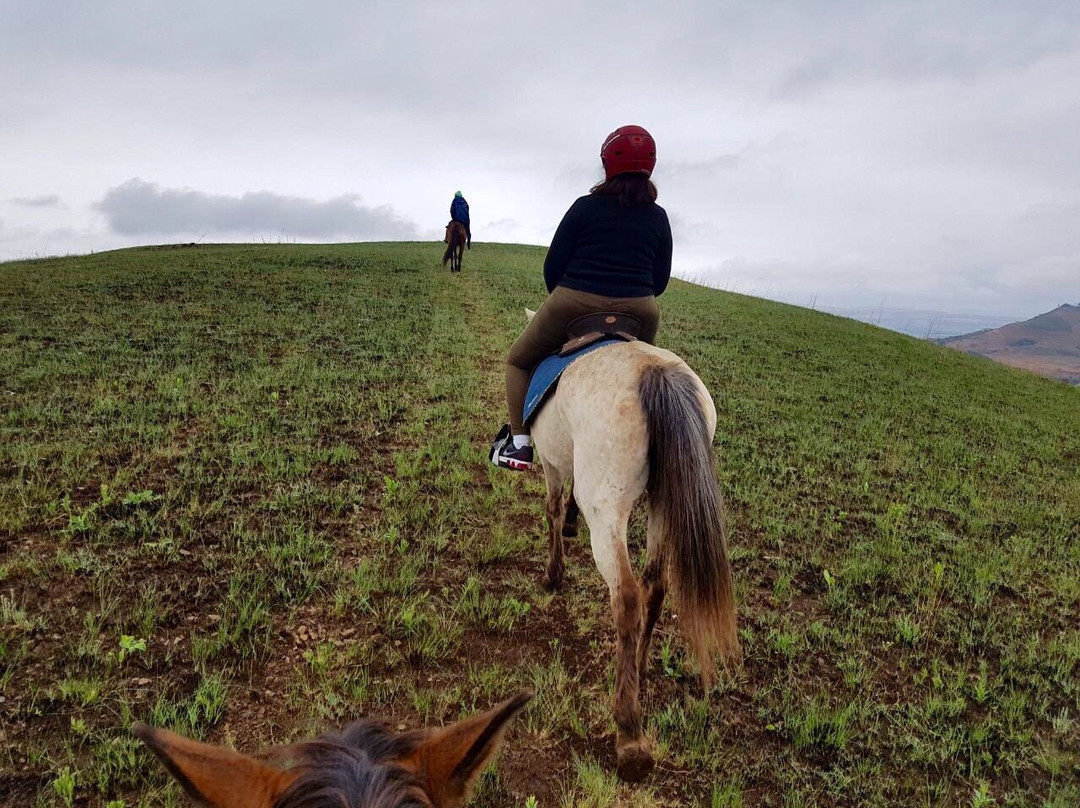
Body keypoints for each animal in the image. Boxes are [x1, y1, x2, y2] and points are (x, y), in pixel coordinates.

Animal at [525, 309, 739, 781]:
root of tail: (655, 372)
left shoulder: (551, 461)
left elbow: (552, 508)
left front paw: (553, 573)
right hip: (661, 501)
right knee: (655, 585)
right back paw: (639, 668)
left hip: (607, 506)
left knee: (625, 595)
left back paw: (629, 733)